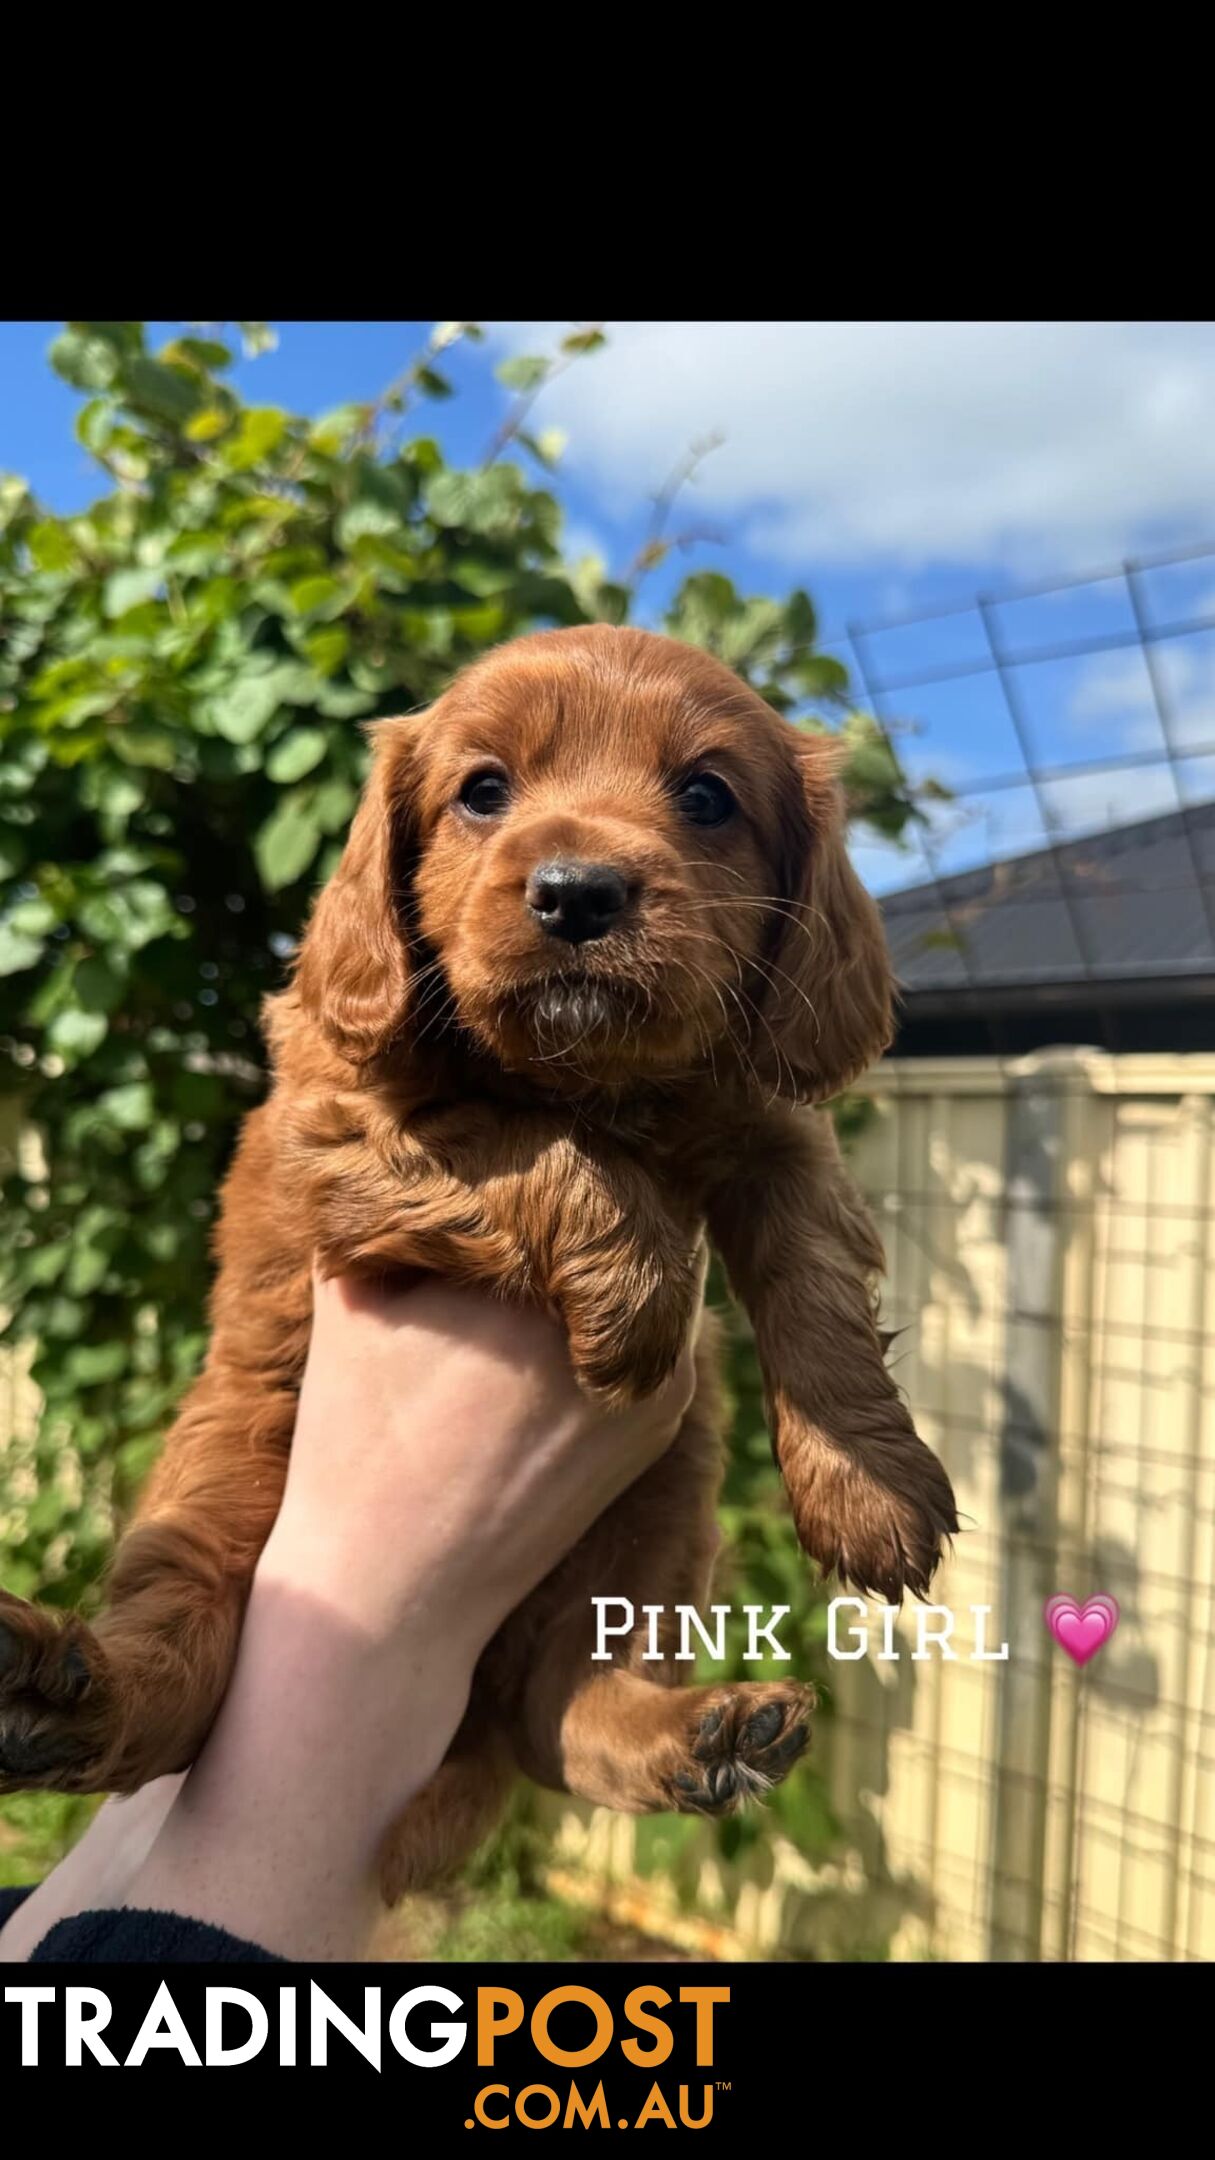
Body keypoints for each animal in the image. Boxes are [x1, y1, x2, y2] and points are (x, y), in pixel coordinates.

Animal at [0, 622, 955, 1892]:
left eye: (707, 796)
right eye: (484, 791)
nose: (578, 892)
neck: (584, 1077)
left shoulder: (772, 1129)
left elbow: (816, 1276)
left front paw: (869, 1491)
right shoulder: (341, 1136)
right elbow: (541, 1156)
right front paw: (637, 1302)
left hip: (663, 1520)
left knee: (562, 1710)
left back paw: (702, 1736)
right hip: (218, 1492)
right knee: (177, 1696)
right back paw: (58, 1692)